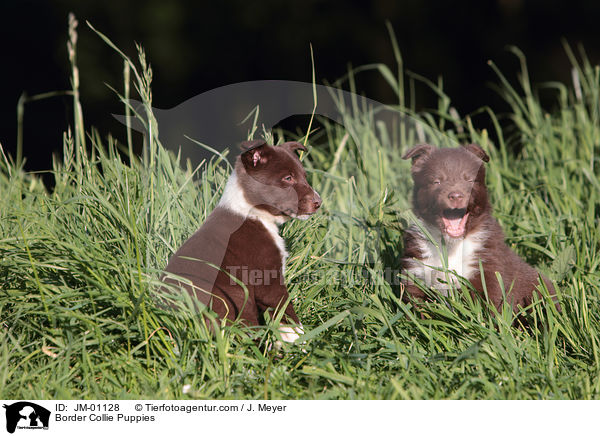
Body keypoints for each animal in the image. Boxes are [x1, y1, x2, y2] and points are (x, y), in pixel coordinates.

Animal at [162, 139, 322, 340]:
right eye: (288, 178)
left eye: (304, 176)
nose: (319, 203)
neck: (252, 211)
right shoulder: (267, 277)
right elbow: (286, 313)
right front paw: (299, 340)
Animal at [400, 144, 556, 314]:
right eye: (437, 181)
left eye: (469, 180)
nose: (456, 196)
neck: (451, 246)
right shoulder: (416, 271)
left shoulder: (487, 269)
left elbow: (492, 309)